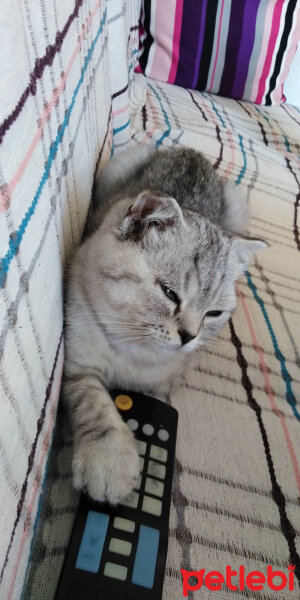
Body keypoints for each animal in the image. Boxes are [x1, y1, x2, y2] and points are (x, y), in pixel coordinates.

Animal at [64, 144, 266, 502]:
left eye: (214, 314)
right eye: (170, 293)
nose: (189, 336)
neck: (133, 351)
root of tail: (193, 151)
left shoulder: (166, 381)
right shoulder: (77, 358)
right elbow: (93, 402)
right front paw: (108, 460)